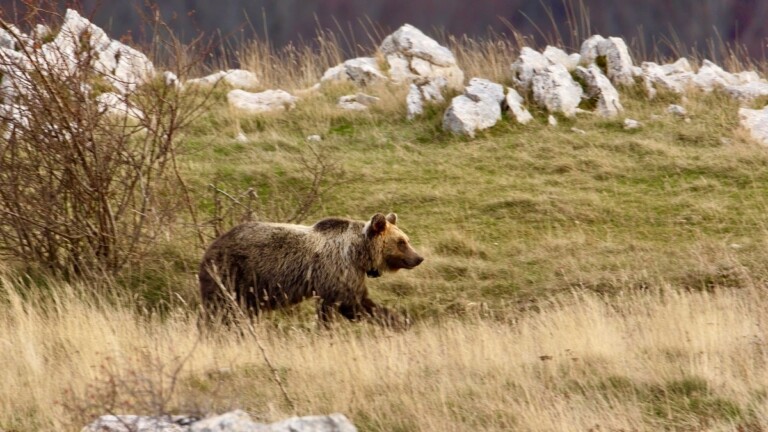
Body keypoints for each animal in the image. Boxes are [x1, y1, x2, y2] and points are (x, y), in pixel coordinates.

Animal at [198, 213, 424, 328]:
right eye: (401, 242)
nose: (418, 258)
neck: (357, 253)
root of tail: (210, 247)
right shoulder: (336, 271)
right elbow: (350, 304)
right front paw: (400, 320)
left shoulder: (348, 275)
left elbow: (358, 301)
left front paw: (401, 320)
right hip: (233, 274)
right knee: (221, 309)